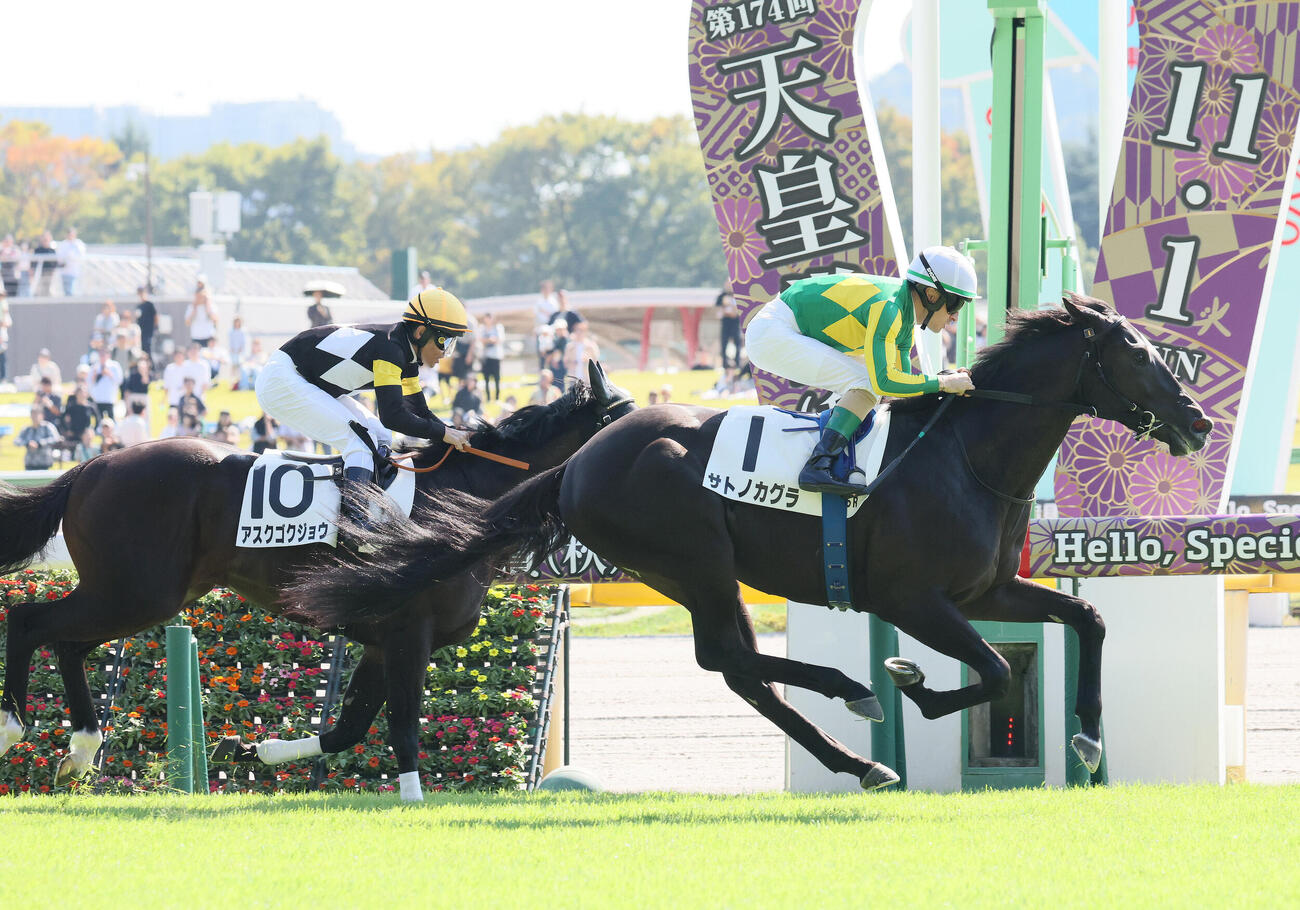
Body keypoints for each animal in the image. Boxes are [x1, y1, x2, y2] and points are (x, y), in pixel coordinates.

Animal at [0, 360, 634, 797]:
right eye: (628, 425)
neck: (459, 502)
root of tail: (90, 465)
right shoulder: (409, 633)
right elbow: (401, 725)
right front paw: (415, 800)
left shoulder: (381, 641)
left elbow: (348, 729)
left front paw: (250, 748)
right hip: (135, 590)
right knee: (30, 621)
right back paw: (14, 728)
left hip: (140, 594)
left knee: (67, 643)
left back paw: (80, 750)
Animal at [288, 294, 1213, 790]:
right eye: (1138, 354)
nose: (1199, 422)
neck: (966, 456)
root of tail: (581, 458)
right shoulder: (913, 597)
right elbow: (985, 670)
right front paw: (911, 683)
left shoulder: (987, 589)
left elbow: (1087, 621)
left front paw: (1088, 736)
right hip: (696, 558)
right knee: (730, 660)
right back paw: (856, 709)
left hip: (695, 570)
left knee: (733, 665)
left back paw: (853, 737)